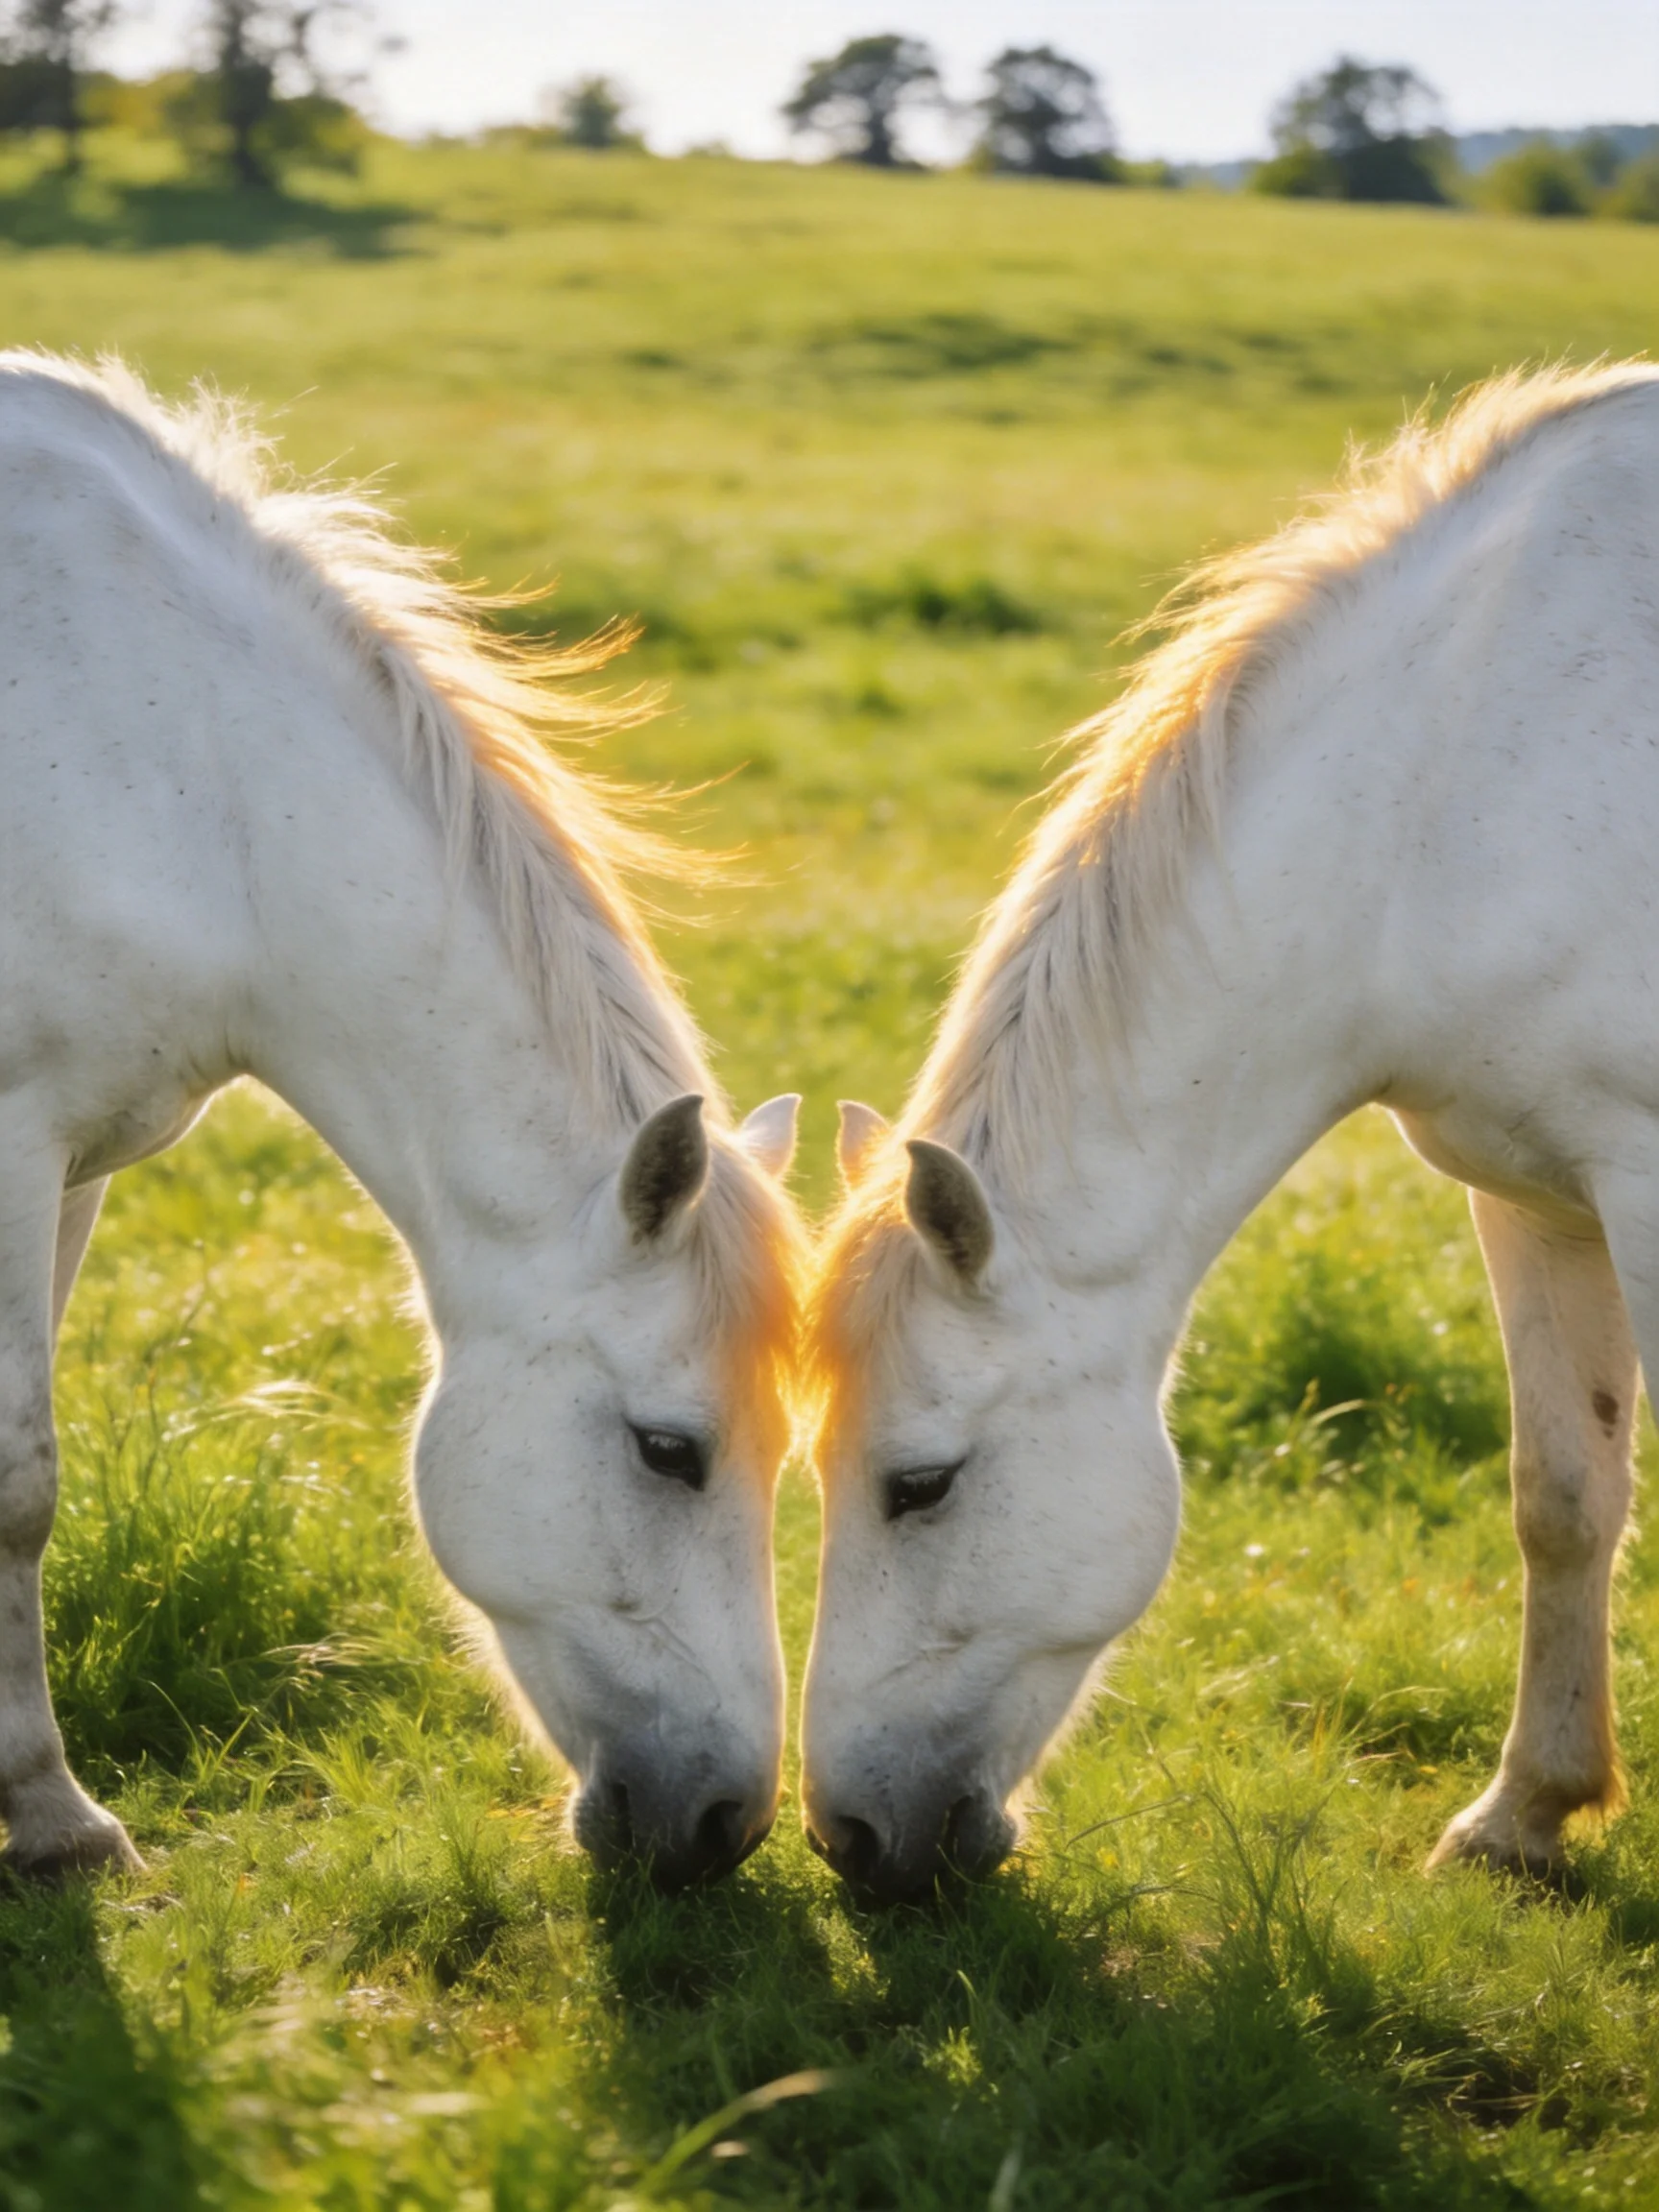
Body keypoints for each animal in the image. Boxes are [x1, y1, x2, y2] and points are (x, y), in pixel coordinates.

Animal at [0, 353, 808, 1890]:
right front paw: (53, 1819)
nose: (723, 1830)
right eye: (668, 1451)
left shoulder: (72, 1168)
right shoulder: (11, 1149)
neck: (176, 758)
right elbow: (19, 1482)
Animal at [802, 362, 1659, 1903]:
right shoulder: (1542, 1195)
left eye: (922, 1485)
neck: (1455, 779)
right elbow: (1563, 1494)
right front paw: (1525, 1814)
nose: (852, 1841)